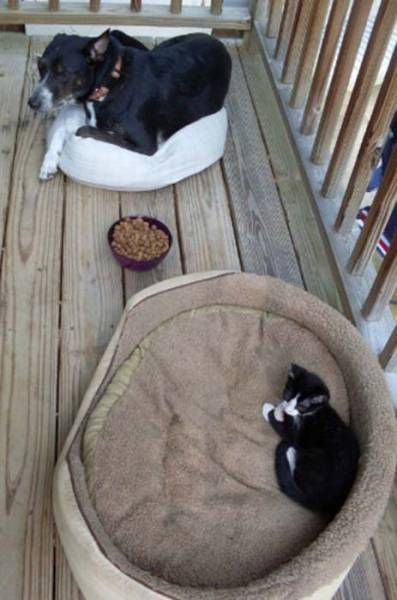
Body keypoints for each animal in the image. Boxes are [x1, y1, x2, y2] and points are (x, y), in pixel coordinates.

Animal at [30, 30, 232, 179]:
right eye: (40, 67)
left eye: (63, 73)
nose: (31, 103)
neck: (110, 82)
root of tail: (215, 39)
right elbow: (62, 130)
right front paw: (49, 162)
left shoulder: (145, 145)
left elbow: (86, 130)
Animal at [262, 364, 358, 512]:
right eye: (288, 394)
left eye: (302, 406)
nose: (288, 408)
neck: (312, 412)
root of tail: (323, 502)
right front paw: (281, 407)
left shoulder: (297, 433)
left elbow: (286, 431)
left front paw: (271, 410)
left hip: (314, 455)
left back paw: (290, 452)